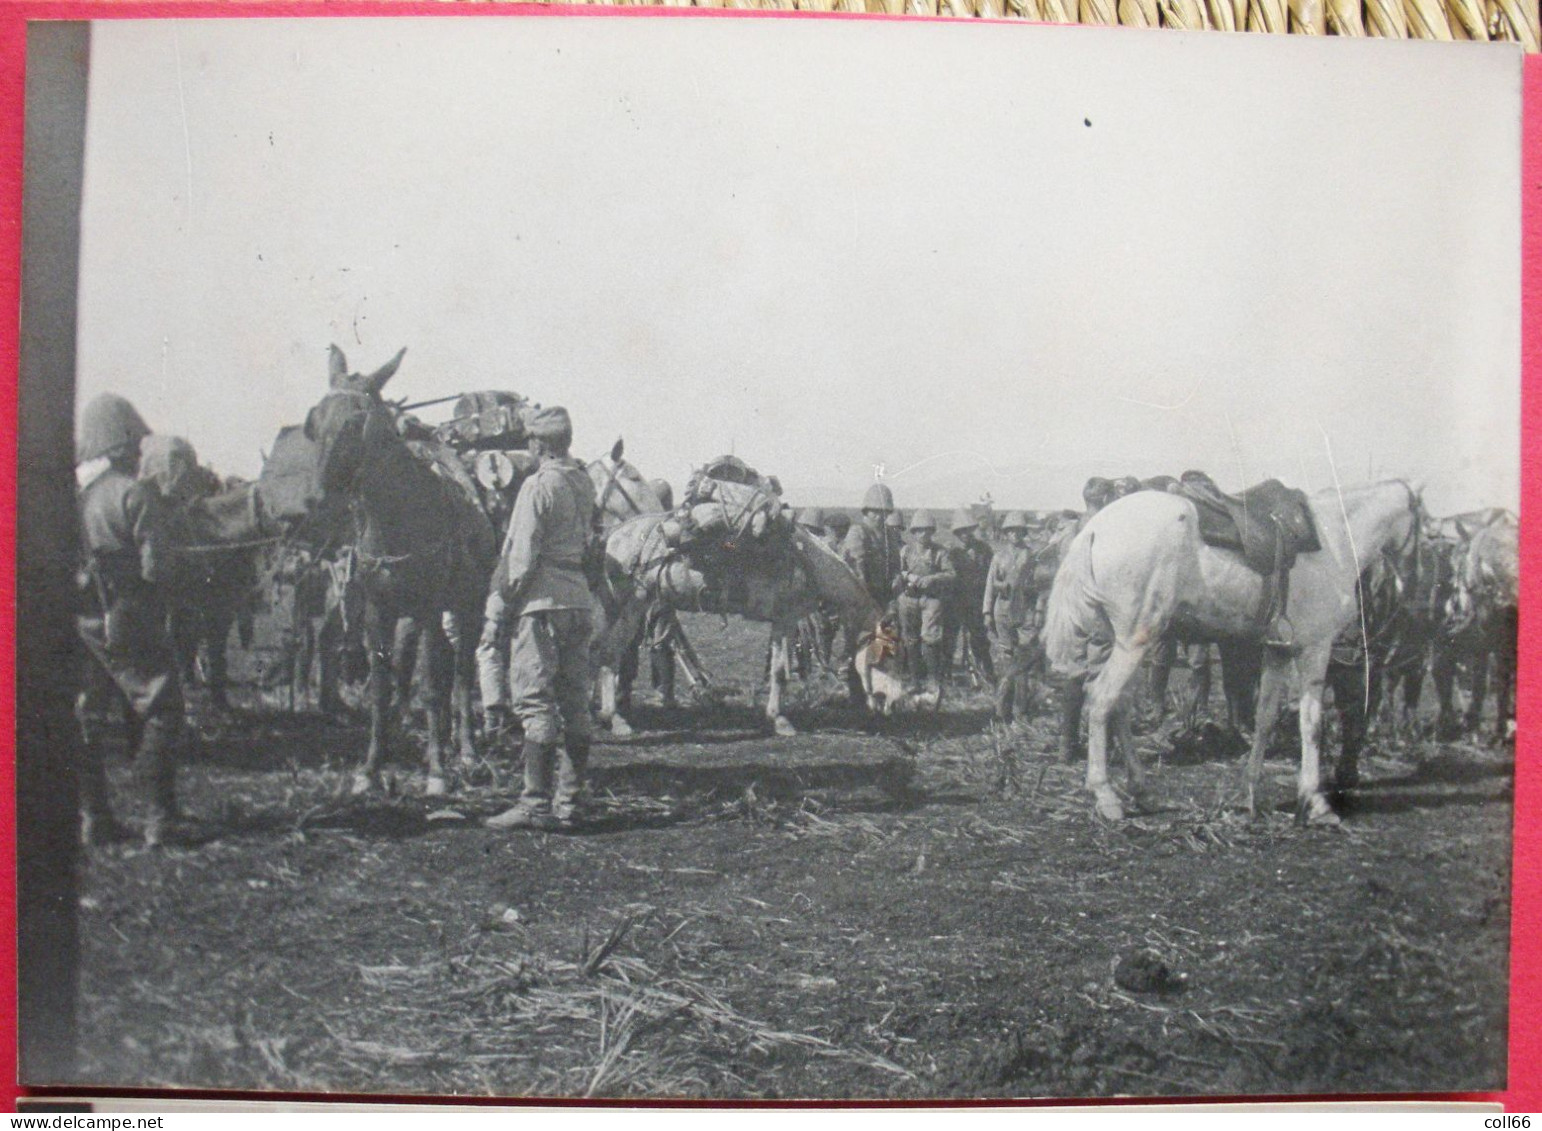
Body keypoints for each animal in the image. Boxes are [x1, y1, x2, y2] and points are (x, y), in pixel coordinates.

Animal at [289, 345, 493, 796]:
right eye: (312, 421)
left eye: (356, 420)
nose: (314, 506)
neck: (399, 516)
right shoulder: (376, 611)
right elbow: (382, 689)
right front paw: (371, 769)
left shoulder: (431, 608)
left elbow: (432, 687)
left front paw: (437, 772)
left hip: (468, 604)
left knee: (461, 672)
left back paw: (467, 752)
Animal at [1048, 475, 1418, 820]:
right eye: (1422, 527)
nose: (1408, 588)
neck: (1335, 539)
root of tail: (1094, 528)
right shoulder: (1316, 648)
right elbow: (1312, 723)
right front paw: (1315, 801)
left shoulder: (1279, 650)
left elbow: (1265, 717)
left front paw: (1250, 792)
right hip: (1137, 639)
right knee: (1101, 700)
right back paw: (1105, 795)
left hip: (1121, 641)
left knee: (1119, 705)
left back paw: (1142, 790)